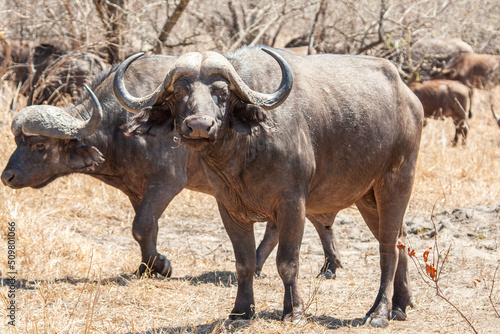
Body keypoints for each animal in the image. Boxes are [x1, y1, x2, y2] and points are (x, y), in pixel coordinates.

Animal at [0, 55, 342, 280]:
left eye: (38, 145)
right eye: (17, 141)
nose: (7, 176)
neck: (122, 125)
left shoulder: (166, 183)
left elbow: (140, 225)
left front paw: (161, 265)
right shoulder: (137, 190)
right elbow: (147, 228)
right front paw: (146, 266)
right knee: (309, 220)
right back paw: (325, 265)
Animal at [115, 46, 424, 326]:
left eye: (222, 94)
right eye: (179, 93)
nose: (200, 125)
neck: (242, 154)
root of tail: (410, 99)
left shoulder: (292, 205)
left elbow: (287, 262)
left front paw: (294, 311)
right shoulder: (229, 209)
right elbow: (244, 263)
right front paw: (240, 312)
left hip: (396, 182)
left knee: (387, 249)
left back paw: (379, 312)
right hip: (368, 198)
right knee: (401, 241)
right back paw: (400, 305)